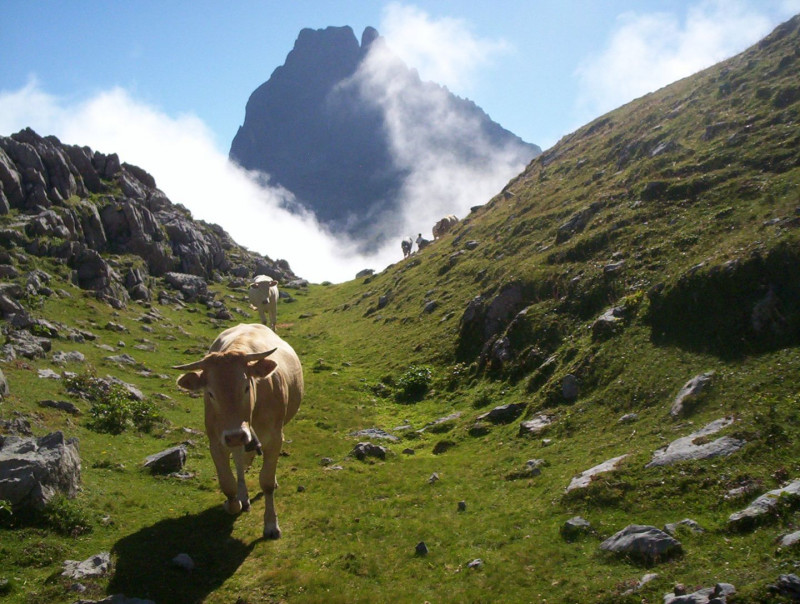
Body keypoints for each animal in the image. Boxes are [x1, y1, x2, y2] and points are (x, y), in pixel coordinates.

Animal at [173, 324, 302, 540]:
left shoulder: (275, 438)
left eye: (246, 387)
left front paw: (271, 524)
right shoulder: (217, 442)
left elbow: (266, 481)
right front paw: (234, 503)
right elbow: (227, 483)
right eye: (210, 393)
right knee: (240, 461)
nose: (235, 435)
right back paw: (243, 494)